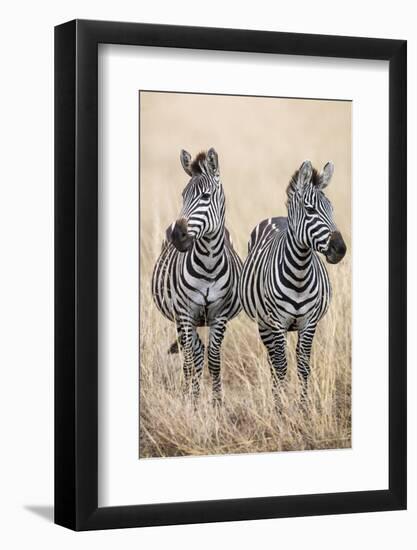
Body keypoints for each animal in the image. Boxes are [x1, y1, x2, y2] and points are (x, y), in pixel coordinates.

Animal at [151, 149, 242, 404]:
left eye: (206, 196)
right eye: (183, 195)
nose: (177, 236)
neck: (208, 264)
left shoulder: (219, 315)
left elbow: (214, 358)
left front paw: (217, 402)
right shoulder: (184, 313)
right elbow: (192, 358)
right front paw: (191, 401)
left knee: (201, 351)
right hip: (180, 320)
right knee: (190, 353)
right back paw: (189, 395)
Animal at [239, 162, 346, 408]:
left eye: (332, 209)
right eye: (310, 210)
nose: (340, 249)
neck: (299, 272)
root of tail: (278, 217)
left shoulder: (309, 322)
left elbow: (303, 366)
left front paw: (304, 408)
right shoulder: (277, 322)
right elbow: (280, 368)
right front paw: (281, 410)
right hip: (264, 324)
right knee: (273, 360)